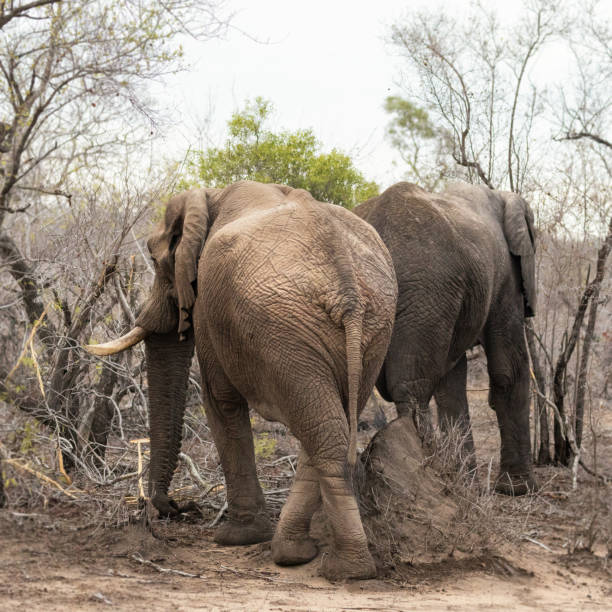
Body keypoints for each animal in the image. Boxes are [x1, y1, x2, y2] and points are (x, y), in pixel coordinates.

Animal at [88, 180, 400, 580]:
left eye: (156, 261)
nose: (175, 508)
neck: (210, 197)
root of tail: (346, 287)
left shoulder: (208, 307)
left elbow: (220, 402)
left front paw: (236, 538)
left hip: (284, 330)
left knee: (320, 430)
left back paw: (337, 568)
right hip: (369, 328)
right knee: (328, 428)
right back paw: (304, 556)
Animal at [352, 179, 536, 494]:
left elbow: (451, 382)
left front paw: (468, 484)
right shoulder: (506, 277)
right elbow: (509, 370)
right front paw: (518, 490)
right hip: (426, 286)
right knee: (412, 389)